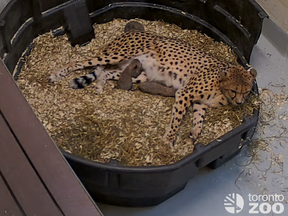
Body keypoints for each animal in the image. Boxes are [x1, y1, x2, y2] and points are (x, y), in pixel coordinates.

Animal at [49, 31, 256, 146]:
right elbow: (177, 119)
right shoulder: (185, 93)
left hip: (137, 72)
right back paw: (57, 74)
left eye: (246, 92)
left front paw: (193, 136)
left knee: (105, 72)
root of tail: (128, 33)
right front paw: (168, 140)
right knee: (80, 62)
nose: (240, 102)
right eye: (234, 91)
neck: (221, 87)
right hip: (116, 55)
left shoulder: (200, 102)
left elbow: (199, 120)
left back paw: (100, 86)